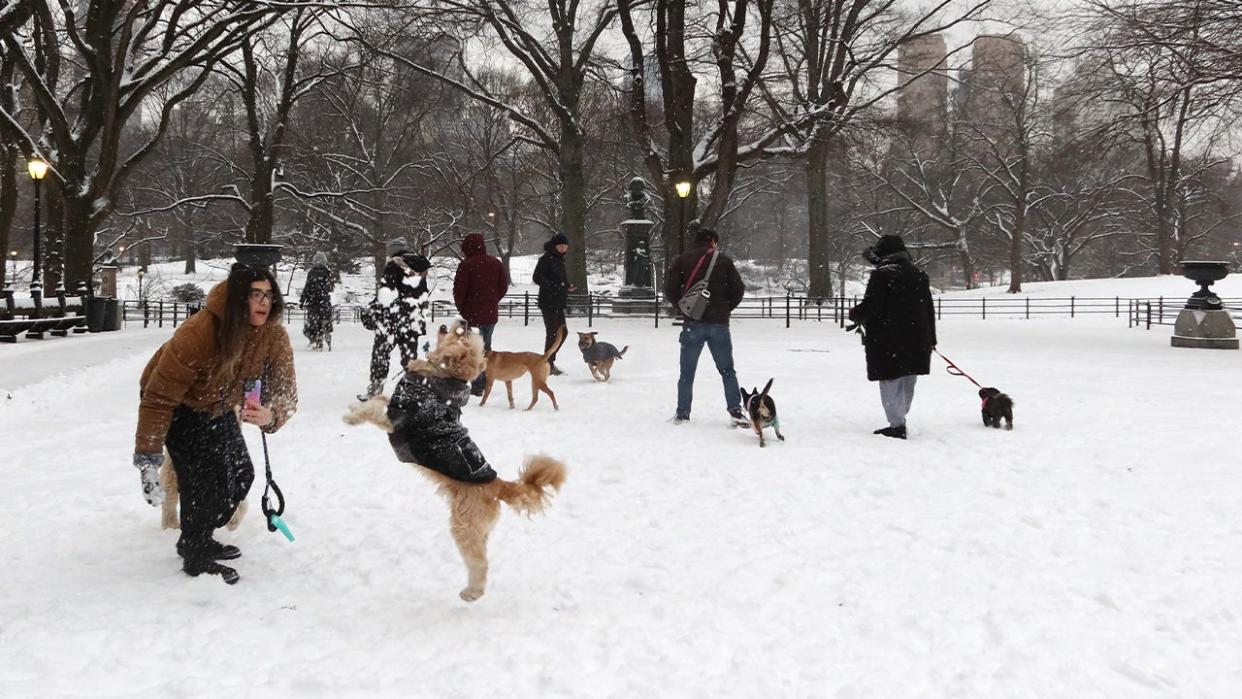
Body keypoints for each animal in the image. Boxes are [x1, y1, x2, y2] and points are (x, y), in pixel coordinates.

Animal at [345, 322, 568, 600]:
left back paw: (472, 592)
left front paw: (350, 418)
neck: (436, 380)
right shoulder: (393, 405)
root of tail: (498, 484)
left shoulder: (396, 418)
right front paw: (354, 409)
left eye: (461, 337)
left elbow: (372, 409)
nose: (461, 322)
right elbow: (376, 400)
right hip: (480, 530)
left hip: (465, 526)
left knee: (480, 563)